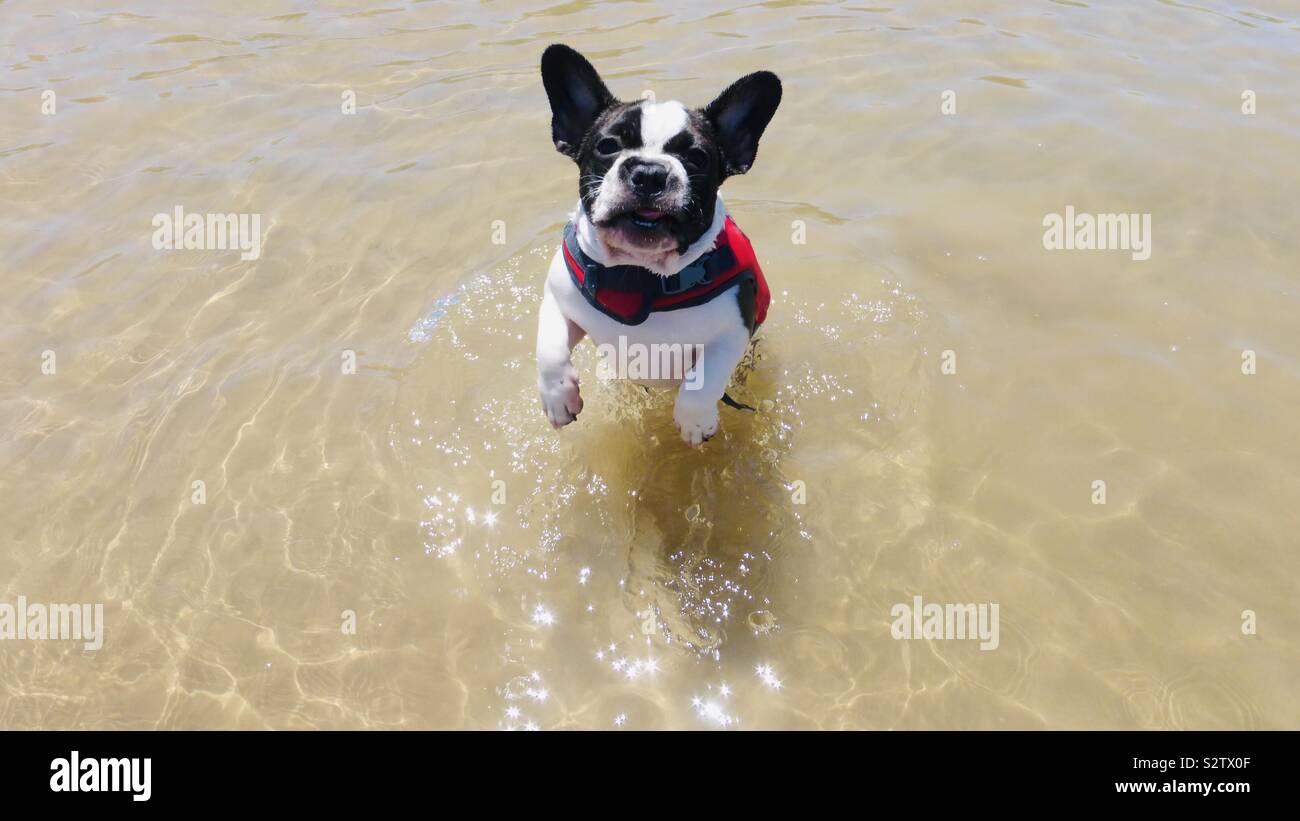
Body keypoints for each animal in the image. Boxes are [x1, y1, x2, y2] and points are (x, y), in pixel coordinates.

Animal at [530, 44, 774, 446]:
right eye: (608, 146)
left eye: (697, 158)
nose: (649, 171)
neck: (638, 272)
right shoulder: (558, 296)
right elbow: (549, 346)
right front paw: (558, 397)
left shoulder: (733, 330)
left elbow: (703, 381)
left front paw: (694, 422)